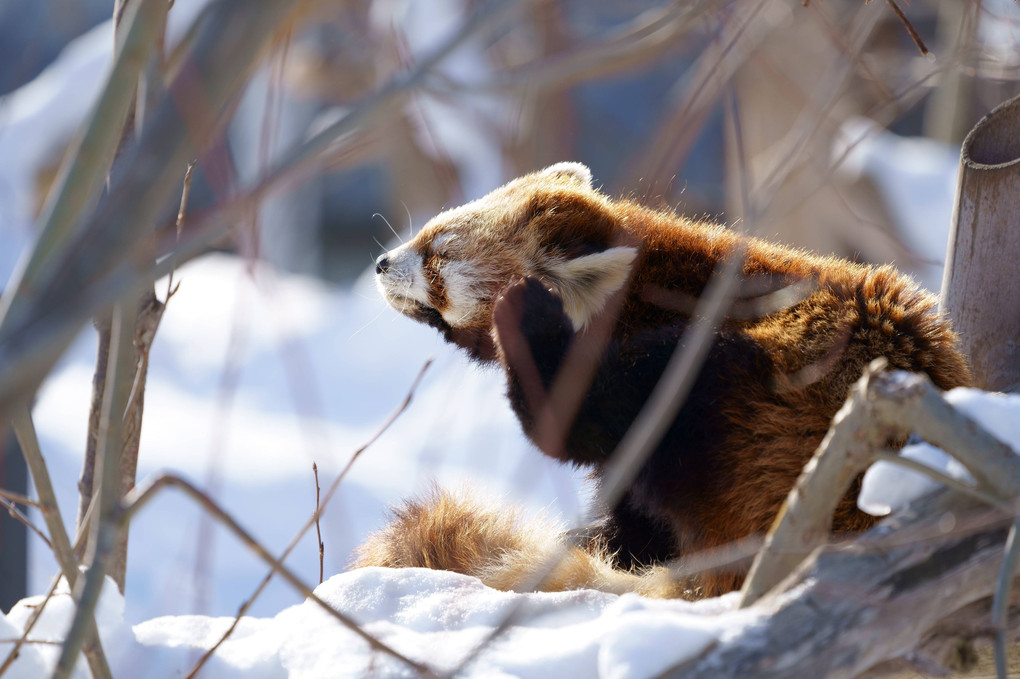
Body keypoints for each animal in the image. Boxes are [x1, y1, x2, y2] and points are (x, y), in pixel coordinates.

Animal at [359, 161, 971, 595]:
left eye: (439, 253)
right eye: (429, 231)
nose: (383, 263)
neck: (649, 291)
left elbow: (577, 425)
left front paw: (525, 317)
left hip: (762, 413)